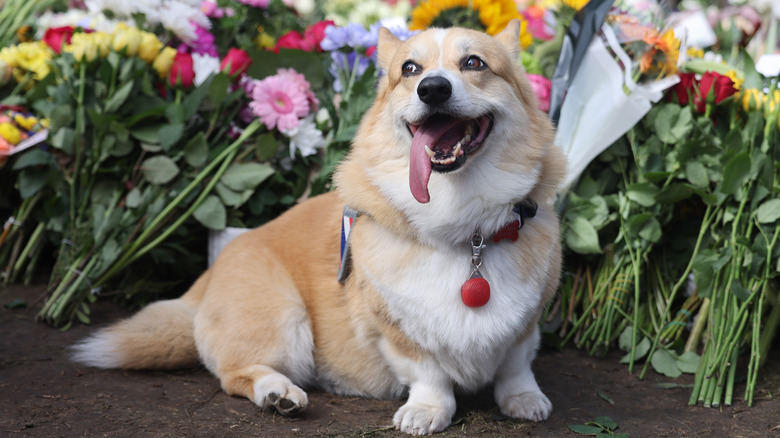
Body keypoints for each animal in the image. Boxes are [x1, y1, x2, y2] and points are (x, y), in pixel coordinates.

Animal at [73, 19, 568, 434]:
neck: (465, 230)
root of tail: (206, 279)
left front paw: (524, 400)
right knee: (235, 374)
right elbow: (428, 372)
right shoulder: (395, 328)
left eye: (474, 63)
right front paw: (427, 411)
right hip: (284, 317)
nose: (432, 89)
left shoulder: (526, 323)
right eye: (410, 69)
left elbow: (515, 366)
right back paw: (278, 393)